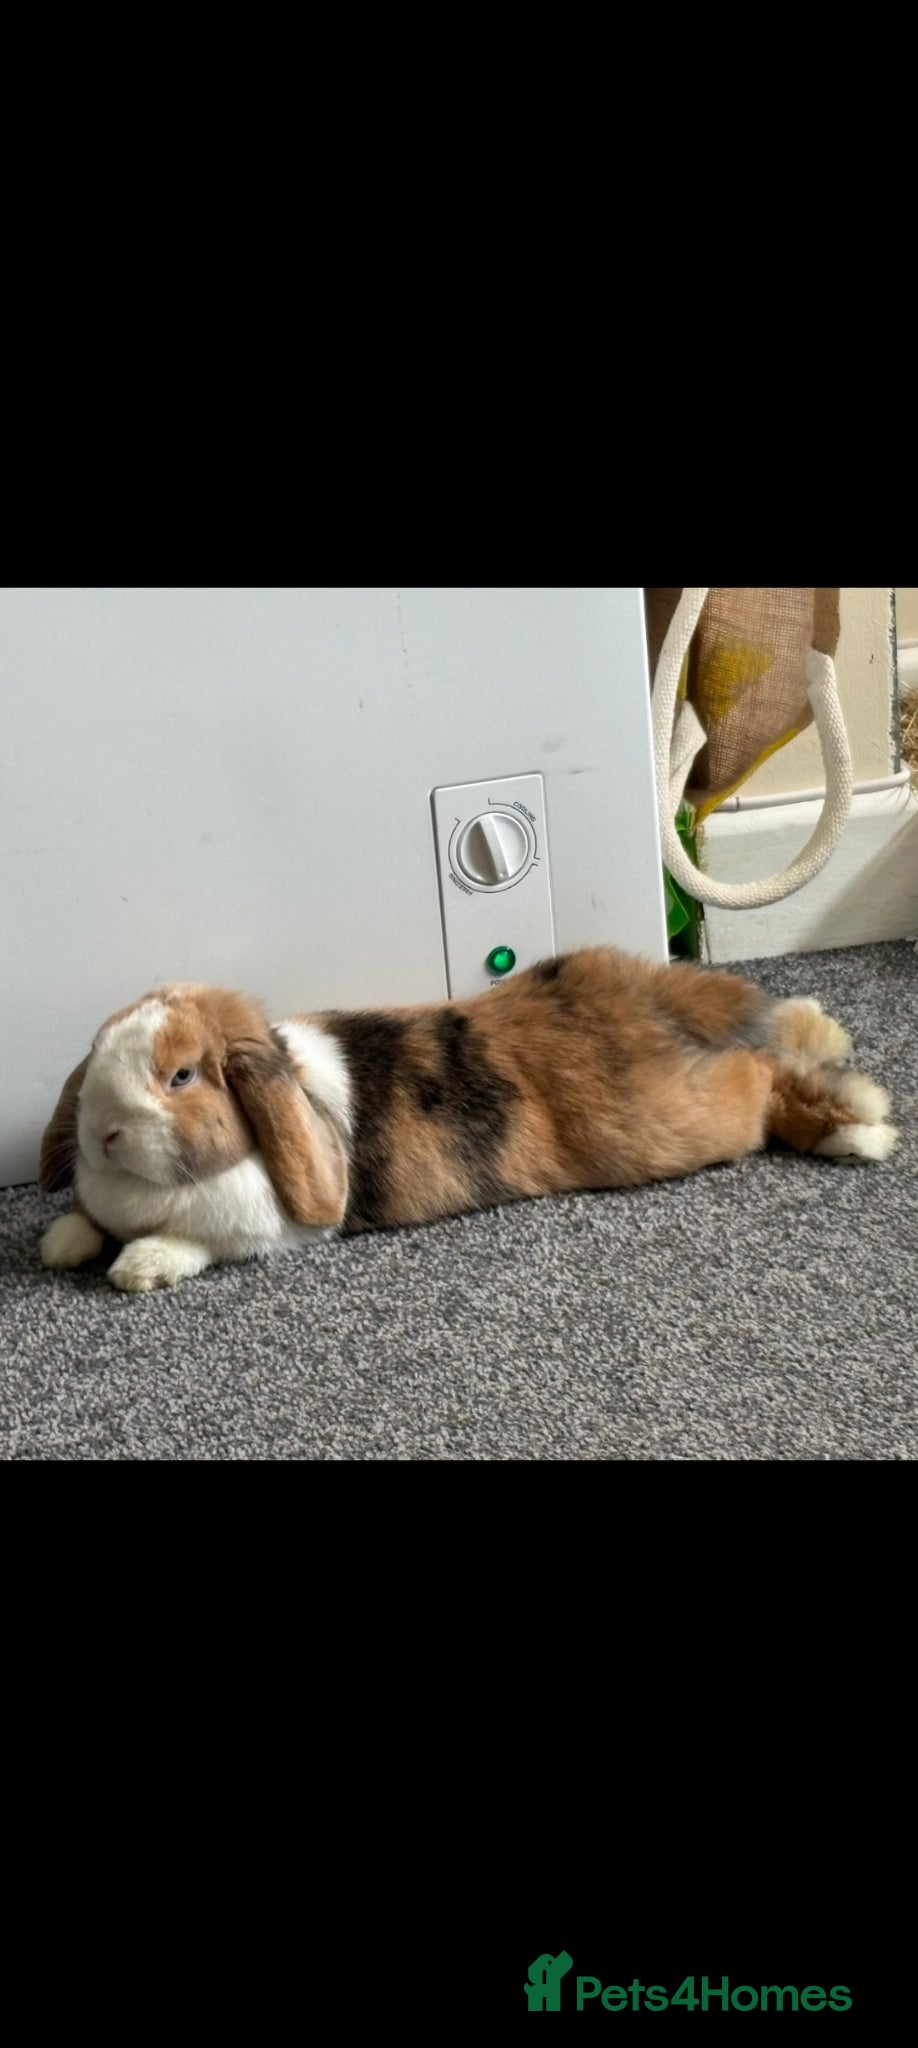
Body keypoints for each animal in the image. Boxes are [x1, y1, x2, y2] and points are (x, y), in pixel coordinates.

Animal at [38, 950, 898, 1293]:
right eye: (96, 1050)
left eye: (181, 1076)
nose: (101, 1134)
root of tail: (647, 999)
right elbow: (87, 1223)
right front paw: (60, 1243)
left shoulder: (265, 1229)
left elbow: (195, 1243)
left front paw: (138, 1266)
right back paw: (820, 1026)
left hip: (670, 1126)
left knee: (760, 1084)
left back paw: (860, 1124)